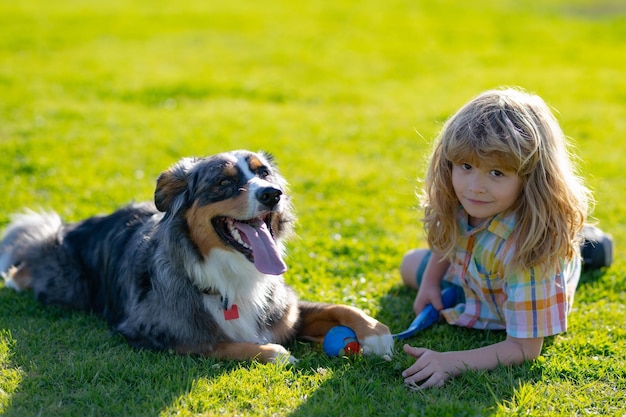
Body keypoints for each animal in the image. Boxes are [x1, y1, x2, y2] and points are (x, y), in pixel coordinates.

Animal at [0, 150, 390, 360]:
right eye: (223, 183)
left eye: (264, 173)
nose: (272, 193)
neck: (232, 278)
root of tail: (69, 228)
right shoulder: (154, 332)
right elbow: (220, 344)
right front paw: (273, 354)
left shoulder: (285, 310)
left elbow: (337, 307)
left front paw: (376, 333)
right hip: (65, 283)